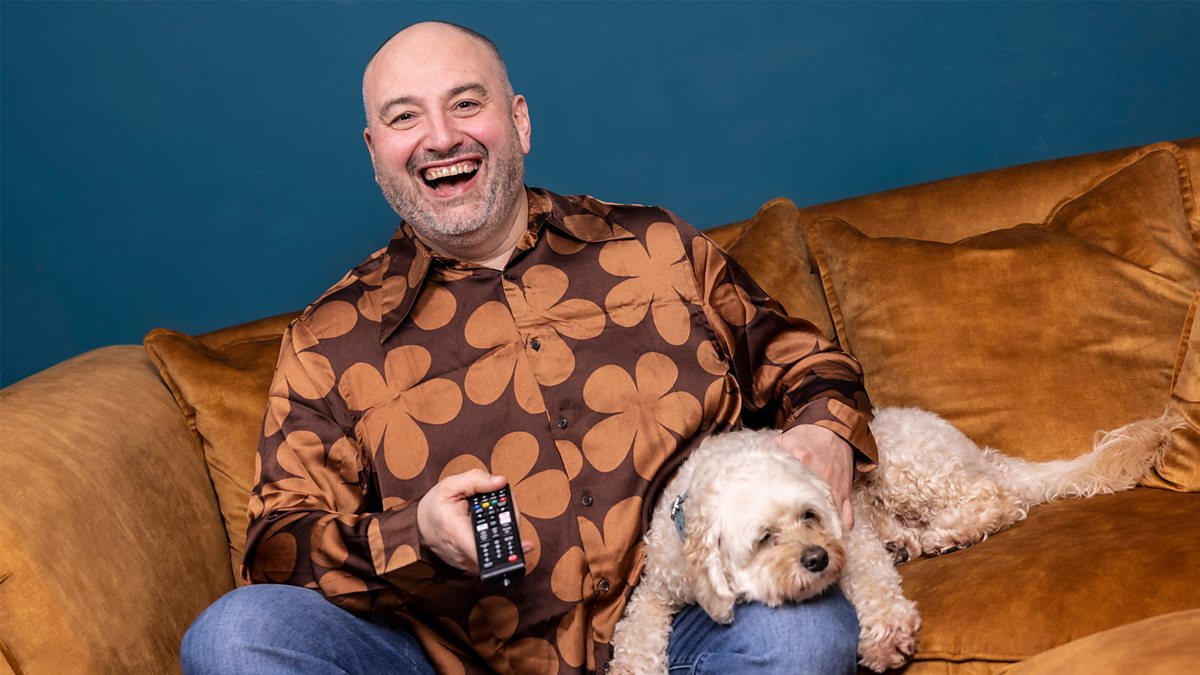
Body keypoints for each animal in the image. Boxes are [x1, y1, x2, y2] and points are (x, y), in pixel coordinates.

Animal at [610, 406, 1181, 674]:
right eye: (765, 537)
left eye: (810, 516)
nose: (818, 559)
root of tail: (975, 450)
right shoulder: (656, 587)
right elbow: (634, 635)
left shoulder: (849, 524)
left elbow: (873, 584)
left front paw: (886, 634)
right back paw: (907, 543)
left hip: (906, 468)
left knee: (997, 499)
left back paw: (951, 532)